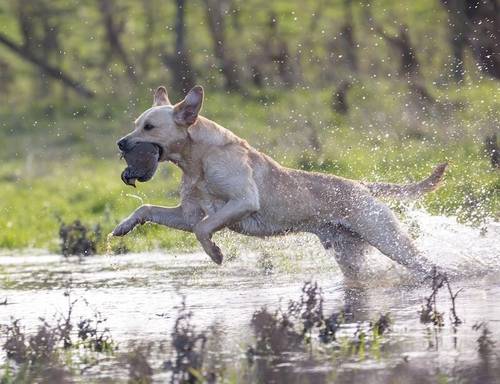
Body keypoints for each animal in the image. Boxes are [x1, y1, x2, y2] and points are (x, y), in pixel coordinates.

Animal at [112, 85, 446, 276]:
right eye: (135, 124)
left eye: (149, 127)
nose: (120, 142)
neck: (198, 160)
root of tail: (362, 186)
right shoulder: (186, 213)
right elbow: (148, 210)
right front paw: (124, 226)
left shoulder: (243, 201)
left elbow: (203, 228)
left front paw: (215, 253)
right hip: (349, 255)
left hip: (389, 240)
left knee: (428, 265)